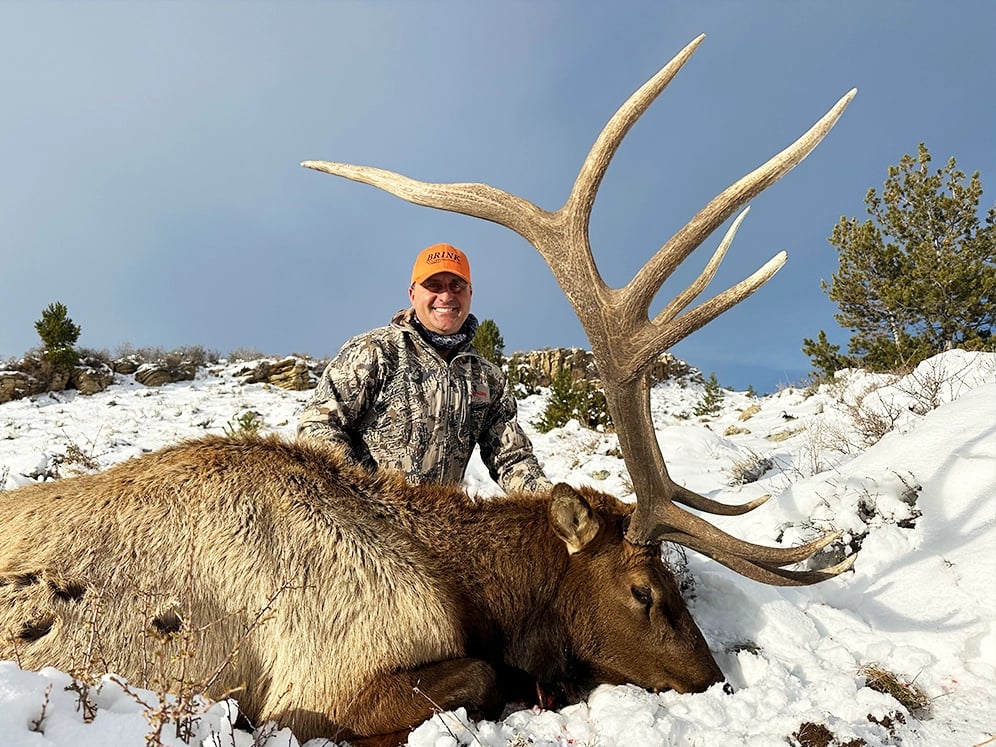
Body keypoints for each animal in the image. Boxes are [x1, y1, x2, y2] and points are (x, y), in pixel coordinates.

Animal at [0, 35, 856, 746]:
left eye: (676, 585)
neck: (464, 588)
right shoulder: (318, 677)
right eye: (643, 590)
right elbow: (481, 674)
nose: (716, 683)